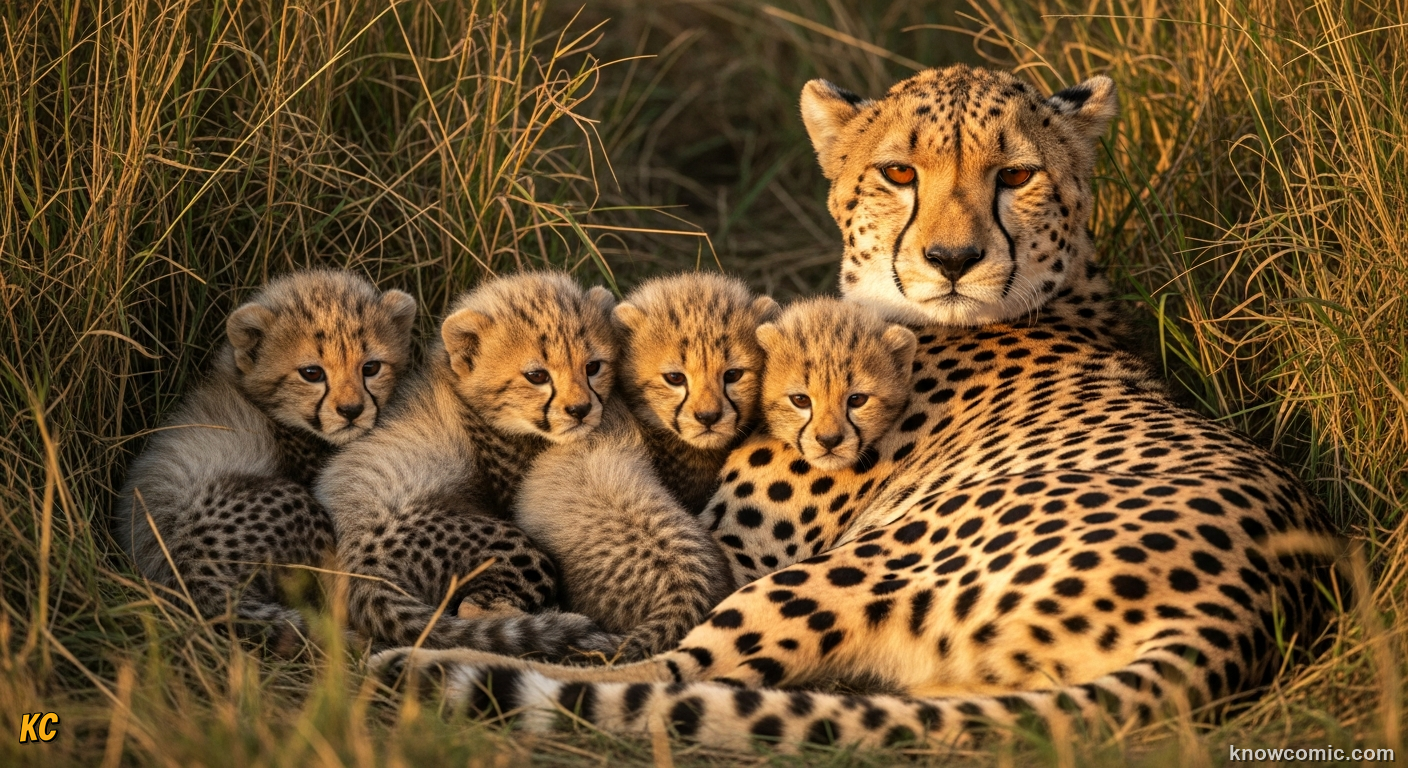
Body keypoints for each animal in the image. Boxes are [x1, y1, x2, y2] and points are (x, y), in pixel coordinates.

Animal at [316, 272, 622, 659]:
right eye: (537, 376)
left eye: (593, 367)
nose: (581, 410)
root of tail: (357, 566)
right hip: (506, 544)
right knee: (473, 610)